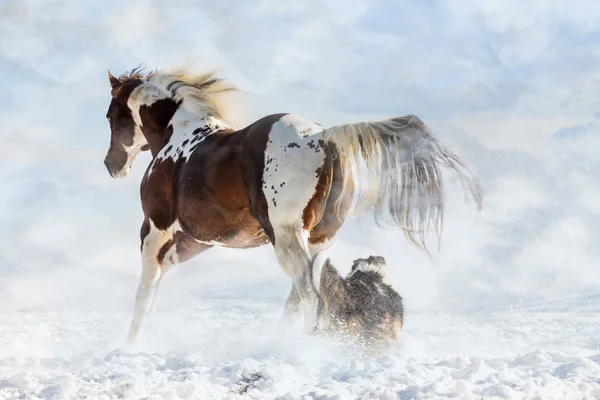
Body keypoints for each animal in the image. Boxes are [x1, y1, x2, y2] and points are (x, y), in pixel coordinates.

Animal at [101, 67, 480, 342]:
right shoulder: (197, 240)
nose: (111, 165)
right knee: (302, 298)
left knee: (311, 298)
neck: (175, 138)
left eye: (111, 115)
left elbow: (144, 295)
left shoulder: (156, 229)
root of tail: (322, 138)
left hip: (285, 239)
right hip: (317, 240)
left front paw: (130, 346)